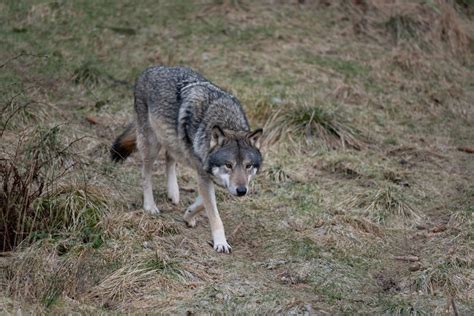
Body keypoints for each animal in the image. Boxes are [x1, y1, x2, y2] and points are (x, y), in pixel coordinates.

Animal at [112, 65, 262, 253]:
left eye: (248, 166)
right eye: (229, 165)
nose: (242, 191)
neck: (225, 121)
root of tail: (149, 69)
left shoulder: (208, 175)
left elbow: (203, 203)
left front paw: (188, 215)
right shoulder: (204, 174)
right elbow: (213, 212)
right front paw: (220, 242)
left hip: (173, 142)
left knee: (169, 158)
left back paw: (173, 192)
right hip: (152, 145)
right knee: (146, 174)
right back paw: (150, 206)